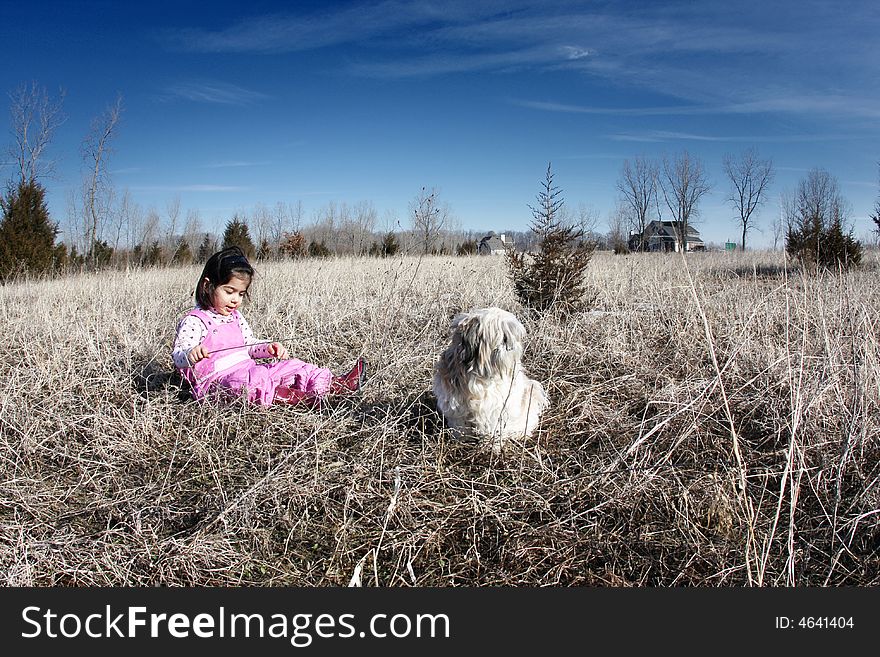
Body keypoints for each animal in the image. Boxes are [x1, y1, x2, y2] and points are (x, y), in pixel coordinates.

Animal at [432, 308, 548, 452]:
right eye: (504, 337)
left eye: (512, 337)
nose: (511, 345)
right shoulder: (454, 405)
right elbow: (460, 425)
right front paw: (461, 439)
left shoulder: (495, 409)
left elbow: (492, 429)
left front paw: (491, 446)